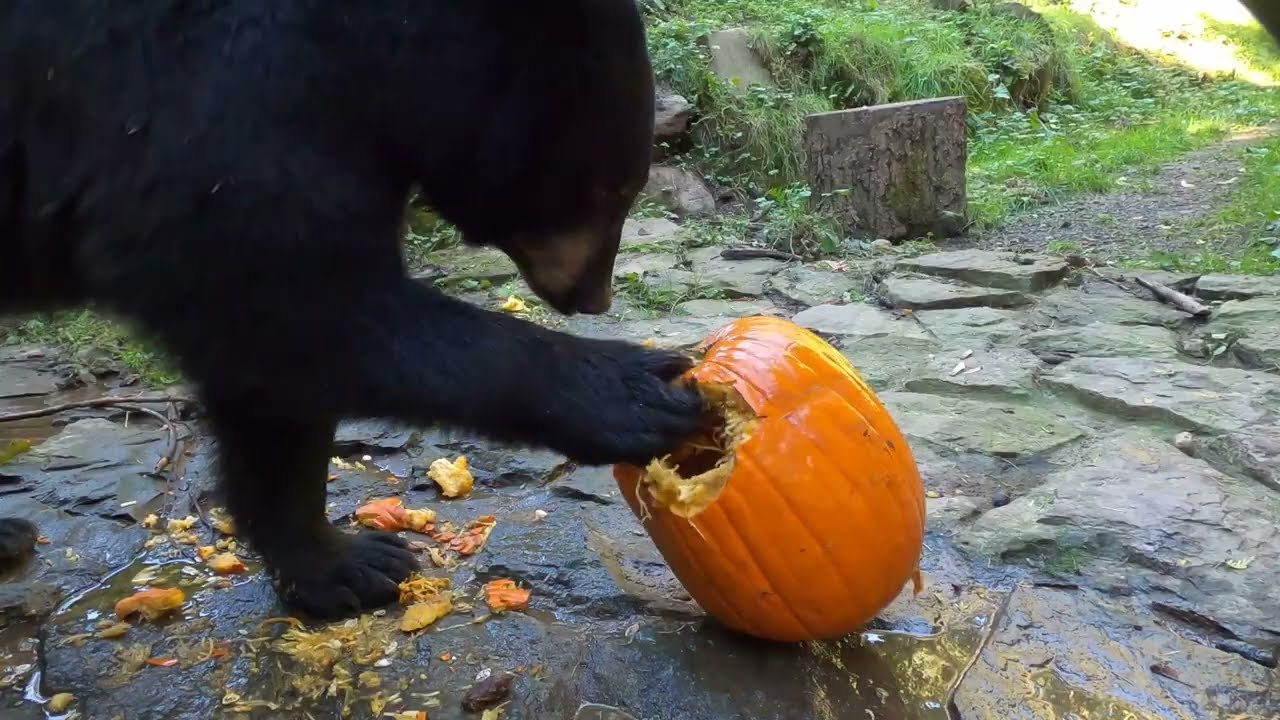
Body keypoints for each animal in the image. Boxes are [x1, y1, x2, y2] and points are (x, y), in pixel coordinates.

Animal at [0, 0, 706, 618]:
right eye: (612, 188)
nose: (595, 297)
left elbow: (273, 389)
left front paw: (345, 564)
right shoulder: (216, 101)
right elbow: (293, 304)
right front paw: (635, 390)